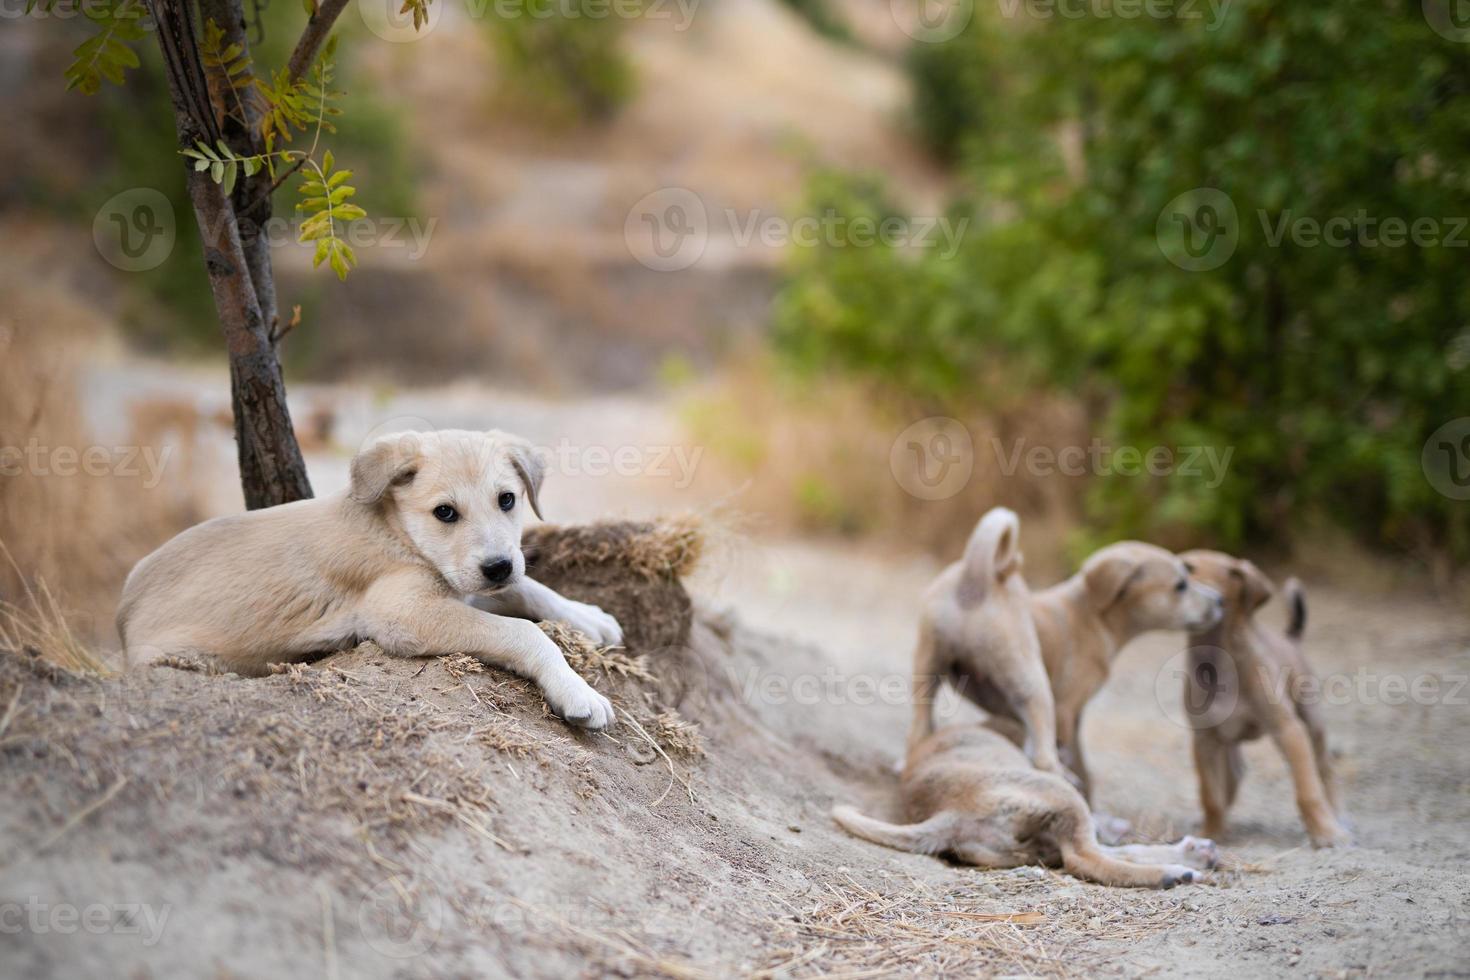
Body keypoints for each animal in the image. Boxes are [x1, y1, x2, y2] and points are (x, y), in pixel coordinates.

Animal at [116, 429, 620, 728]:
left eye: (508, 500)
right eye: (445, 513)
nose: (497, 566)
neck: (397, 532)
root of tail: (121, 616)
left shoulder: (463, 584)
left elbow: (531, 589)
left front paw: (589, 617)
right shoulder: (403, 612)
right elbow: (524, 633)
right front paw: (577, 691)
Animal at [1176, 552, 1346, 852]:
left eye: (1189, 568)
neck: (1218, 662)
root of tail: (1290, 638)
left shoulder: (1288, 730)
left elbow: (1307, 790)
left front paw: (1326, 833)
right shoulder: (1205, 740)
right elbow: (1211, 796)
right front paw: (1211, 832)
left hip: (1313, 725)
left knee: (1326, 770)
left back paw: (1336, 817)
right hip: (1229, 748)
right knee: (1232, 781)